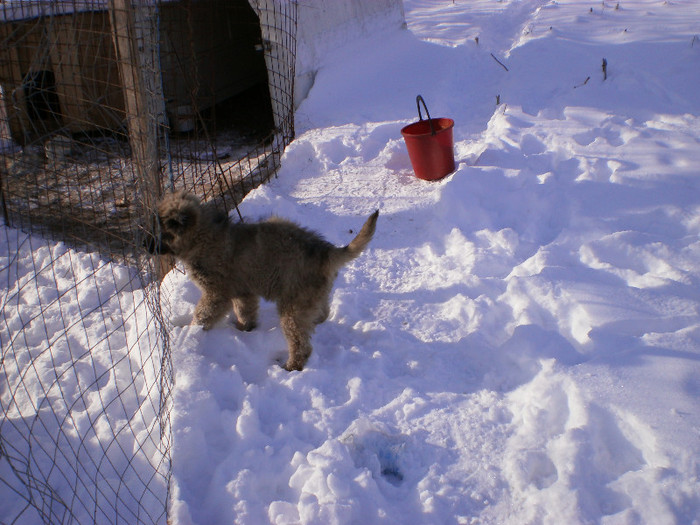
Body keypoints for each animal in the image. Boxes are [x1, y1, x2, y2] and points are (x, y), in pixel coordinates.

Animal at [148, 190, 378, 370]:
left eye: (160, 232)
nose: (144, 246)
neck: (201, 236)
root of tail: (324, 251)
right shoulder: (243, 292)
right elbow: (245, 311)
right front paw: (244, 328)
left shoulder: (216, 294)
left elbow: (203, 315)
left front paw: (190, 332)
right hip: (312, 296)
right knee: (321, 313)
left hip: (292, 308)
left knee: (300, 343)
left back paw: (291, 366)